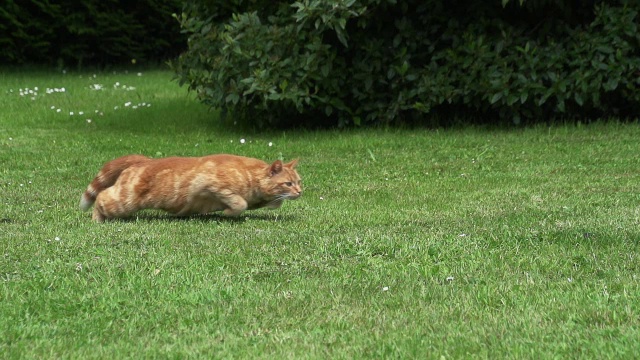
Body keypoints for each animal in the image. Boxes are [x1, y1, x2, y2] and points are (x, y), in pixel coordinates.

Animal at [79, 154, 302, 222]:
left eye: (299, 182)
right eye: (288, 183)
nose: (300, 192)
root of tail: (143, 159)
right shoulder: (211, 184)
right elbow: (240, 203)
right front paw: (228, 213)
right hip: (125, 201)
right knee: (101, 197)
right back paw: (97, 220)